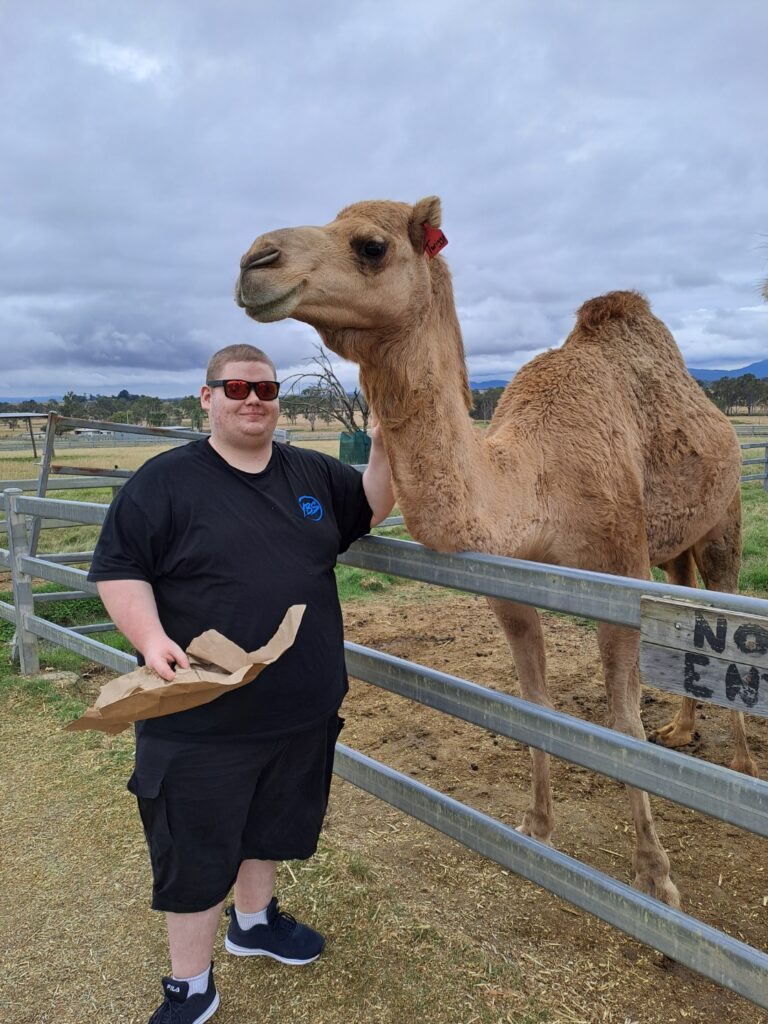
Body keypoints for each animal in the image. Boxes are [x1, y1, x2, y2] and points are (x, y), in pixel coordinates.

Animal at [234, 193, 757, 905]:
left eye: (371, 246)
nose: (255, 261)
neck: (536, 478)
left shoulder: (617, 571)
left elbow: (623, 725)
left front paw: (655, 876)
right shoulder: (509, 586)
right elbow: (533, 706)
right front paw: (537, 827)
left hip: (723, 516)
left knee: (723, 599)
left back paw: (740, 761)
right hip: (672, 544)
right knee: (685, 594)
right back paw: (681, 730)